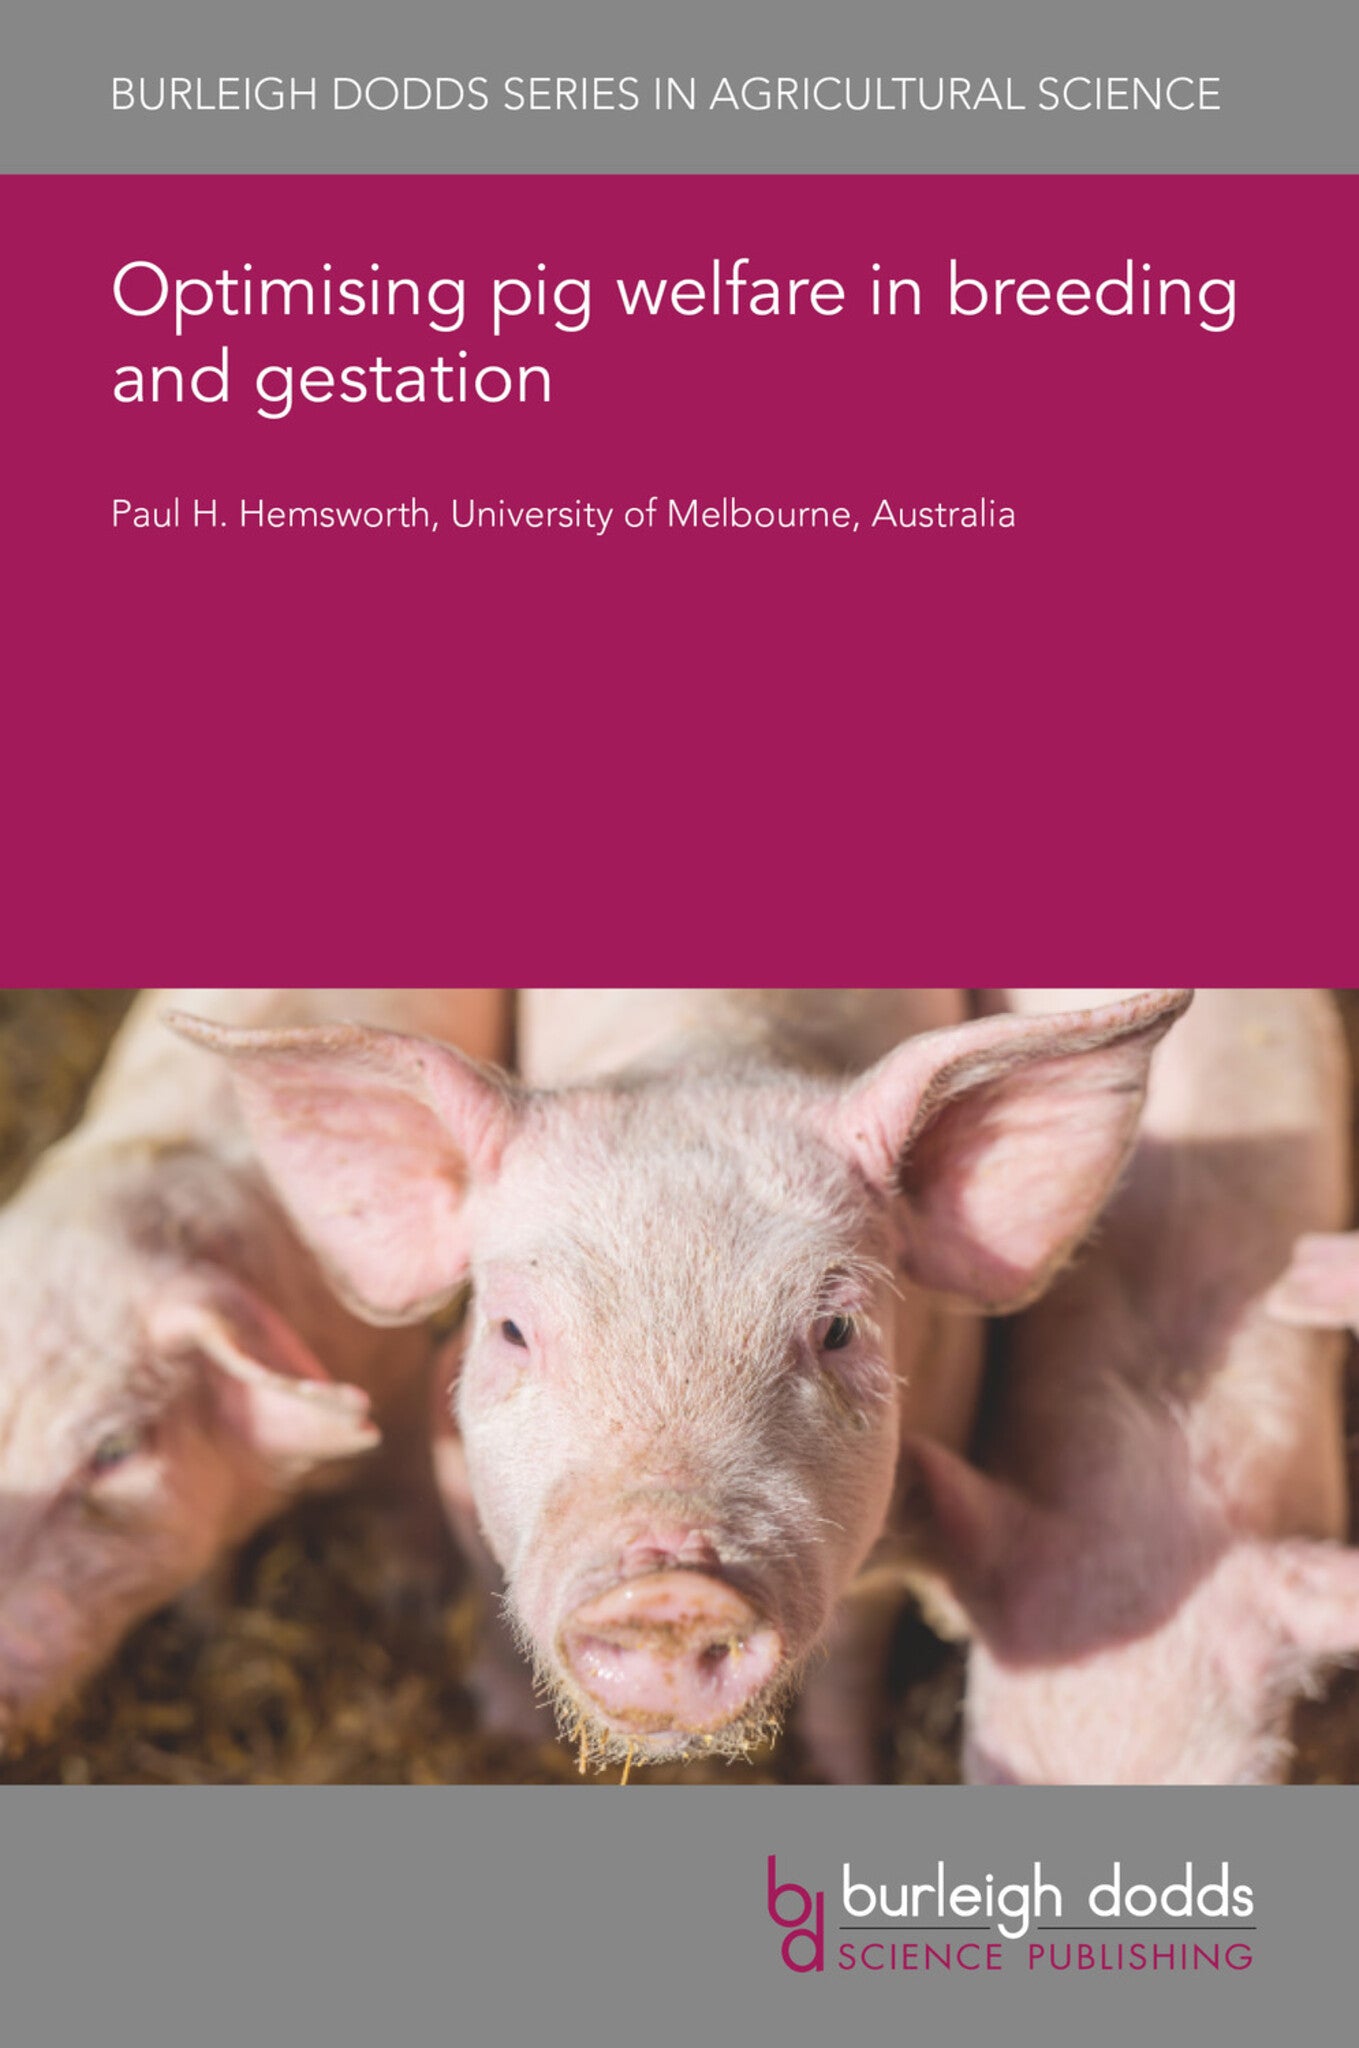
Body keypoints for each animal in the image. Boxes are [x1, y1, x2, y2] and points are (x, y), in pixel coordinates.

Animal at [171, 986, 1190, 1778]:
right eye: (510, 1330)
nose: (668, 1589)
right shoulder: (446, 1452)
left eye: (836, 1330)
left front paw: (845, 1773)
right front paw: (506, 1734)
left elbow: (850, 1670)